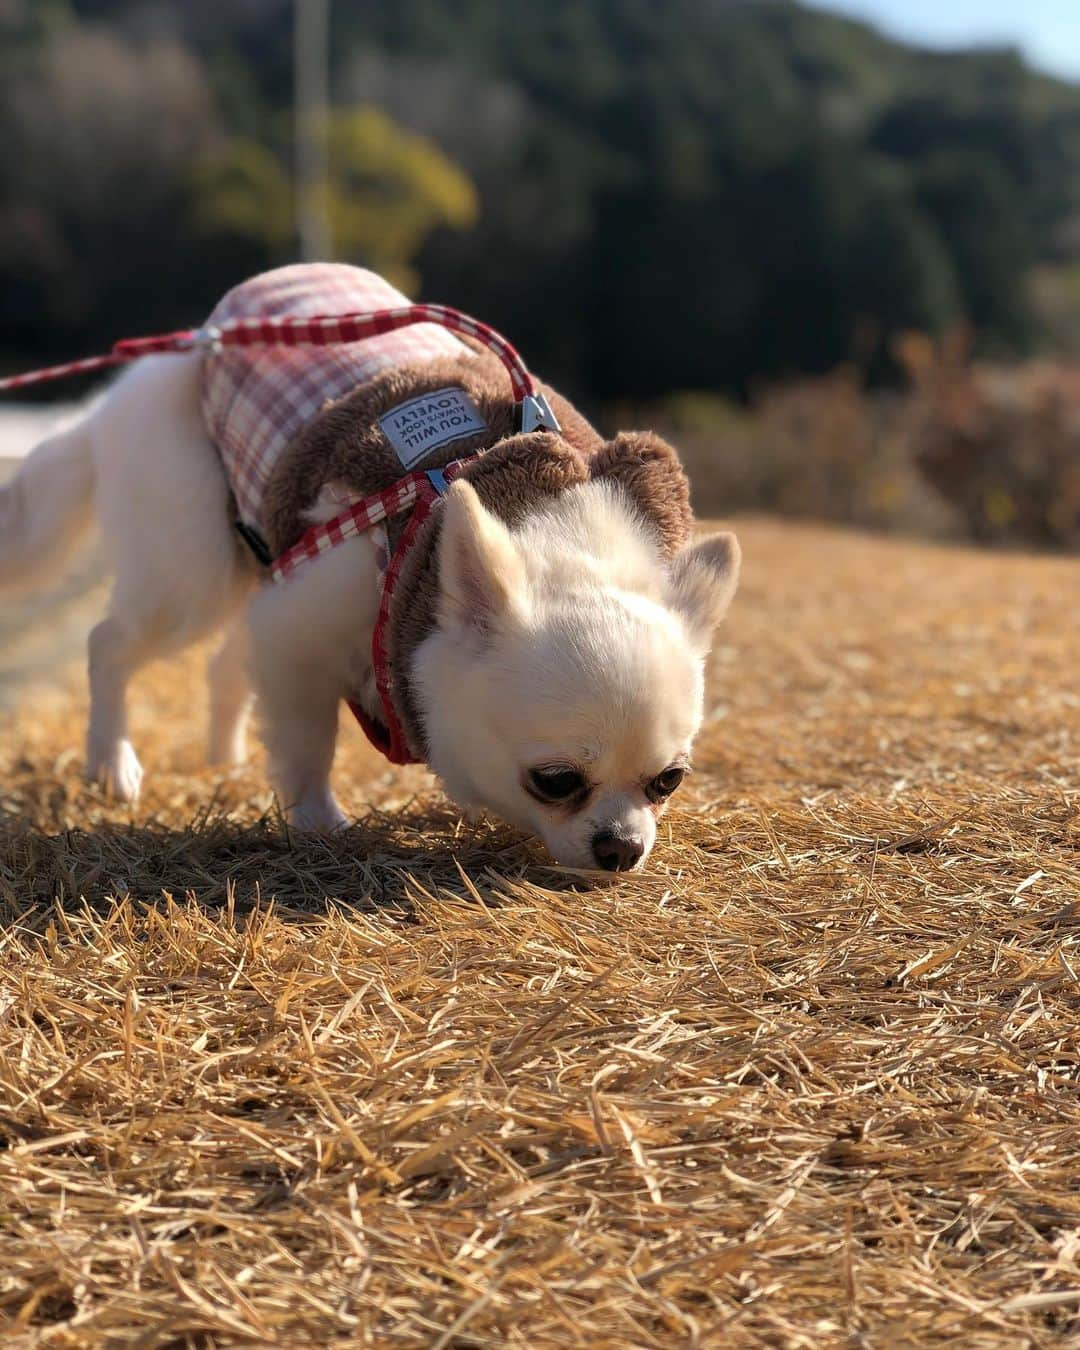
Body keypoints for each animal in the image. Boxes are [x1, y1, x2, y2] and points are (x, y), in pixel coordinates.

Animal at [0, 271, 739, 874]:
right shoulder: (298, 633)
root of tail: (162, 363)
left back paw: (222, 754)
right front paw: (319, 822)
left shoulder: (289, 609)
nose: (622, 849)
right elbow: (307, 743)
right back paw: (111, 761)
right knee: (110, 644)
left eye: (668, 781)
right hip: (192, 569)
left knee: (222, 662)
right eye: (554, 781)